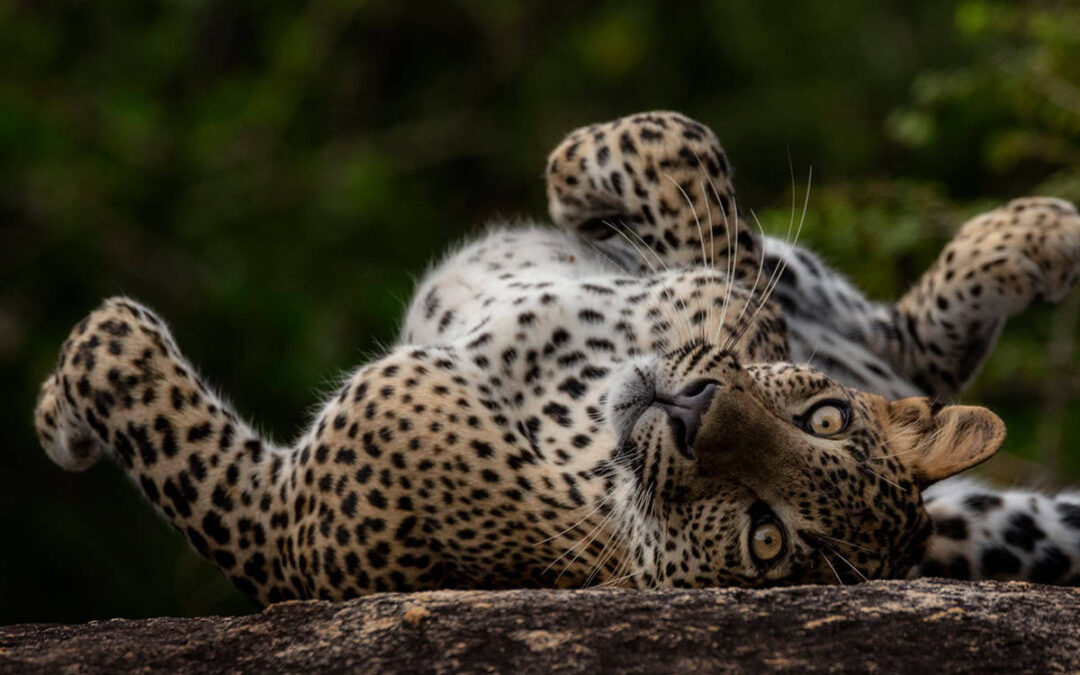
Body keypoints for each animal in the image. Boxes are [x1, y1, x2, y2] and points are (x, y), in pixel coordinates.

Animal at [34, 111, 1080, 605]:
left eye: (768, 537)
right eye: (821, 417)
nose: (693, 409)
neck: (579, 409)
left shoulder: (283, 528)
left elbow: (128, 368)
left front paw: (65, 412)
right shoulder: (719, 296)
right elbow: (687, 159)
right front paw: (585, 178)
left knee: (913, 354)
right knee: (901, 351)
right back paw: (1043, 233)